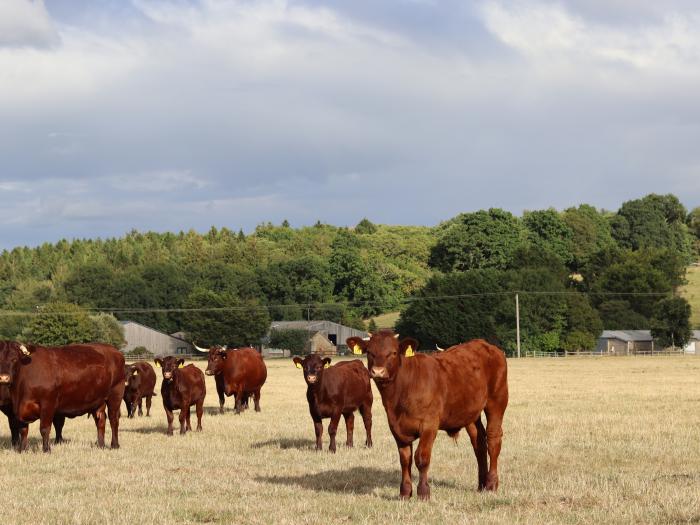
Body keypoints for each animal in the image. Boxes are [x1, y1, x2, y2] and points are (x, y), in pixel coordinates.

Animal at [348, 332, 508, 500]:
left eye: (393, 352)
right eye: (369, 352)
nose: (378, 371)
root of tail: (485, 344)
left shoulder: (429, 425)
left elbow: (421, 458)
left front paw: (423, 492)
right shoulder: (396, 427)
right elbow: (405, 460)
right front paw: (405, 492)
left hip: (497, 400)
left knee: (493, 439)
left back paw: (491, 484)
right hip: (469, 413)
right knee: (479, 442)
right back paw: (481, 485)